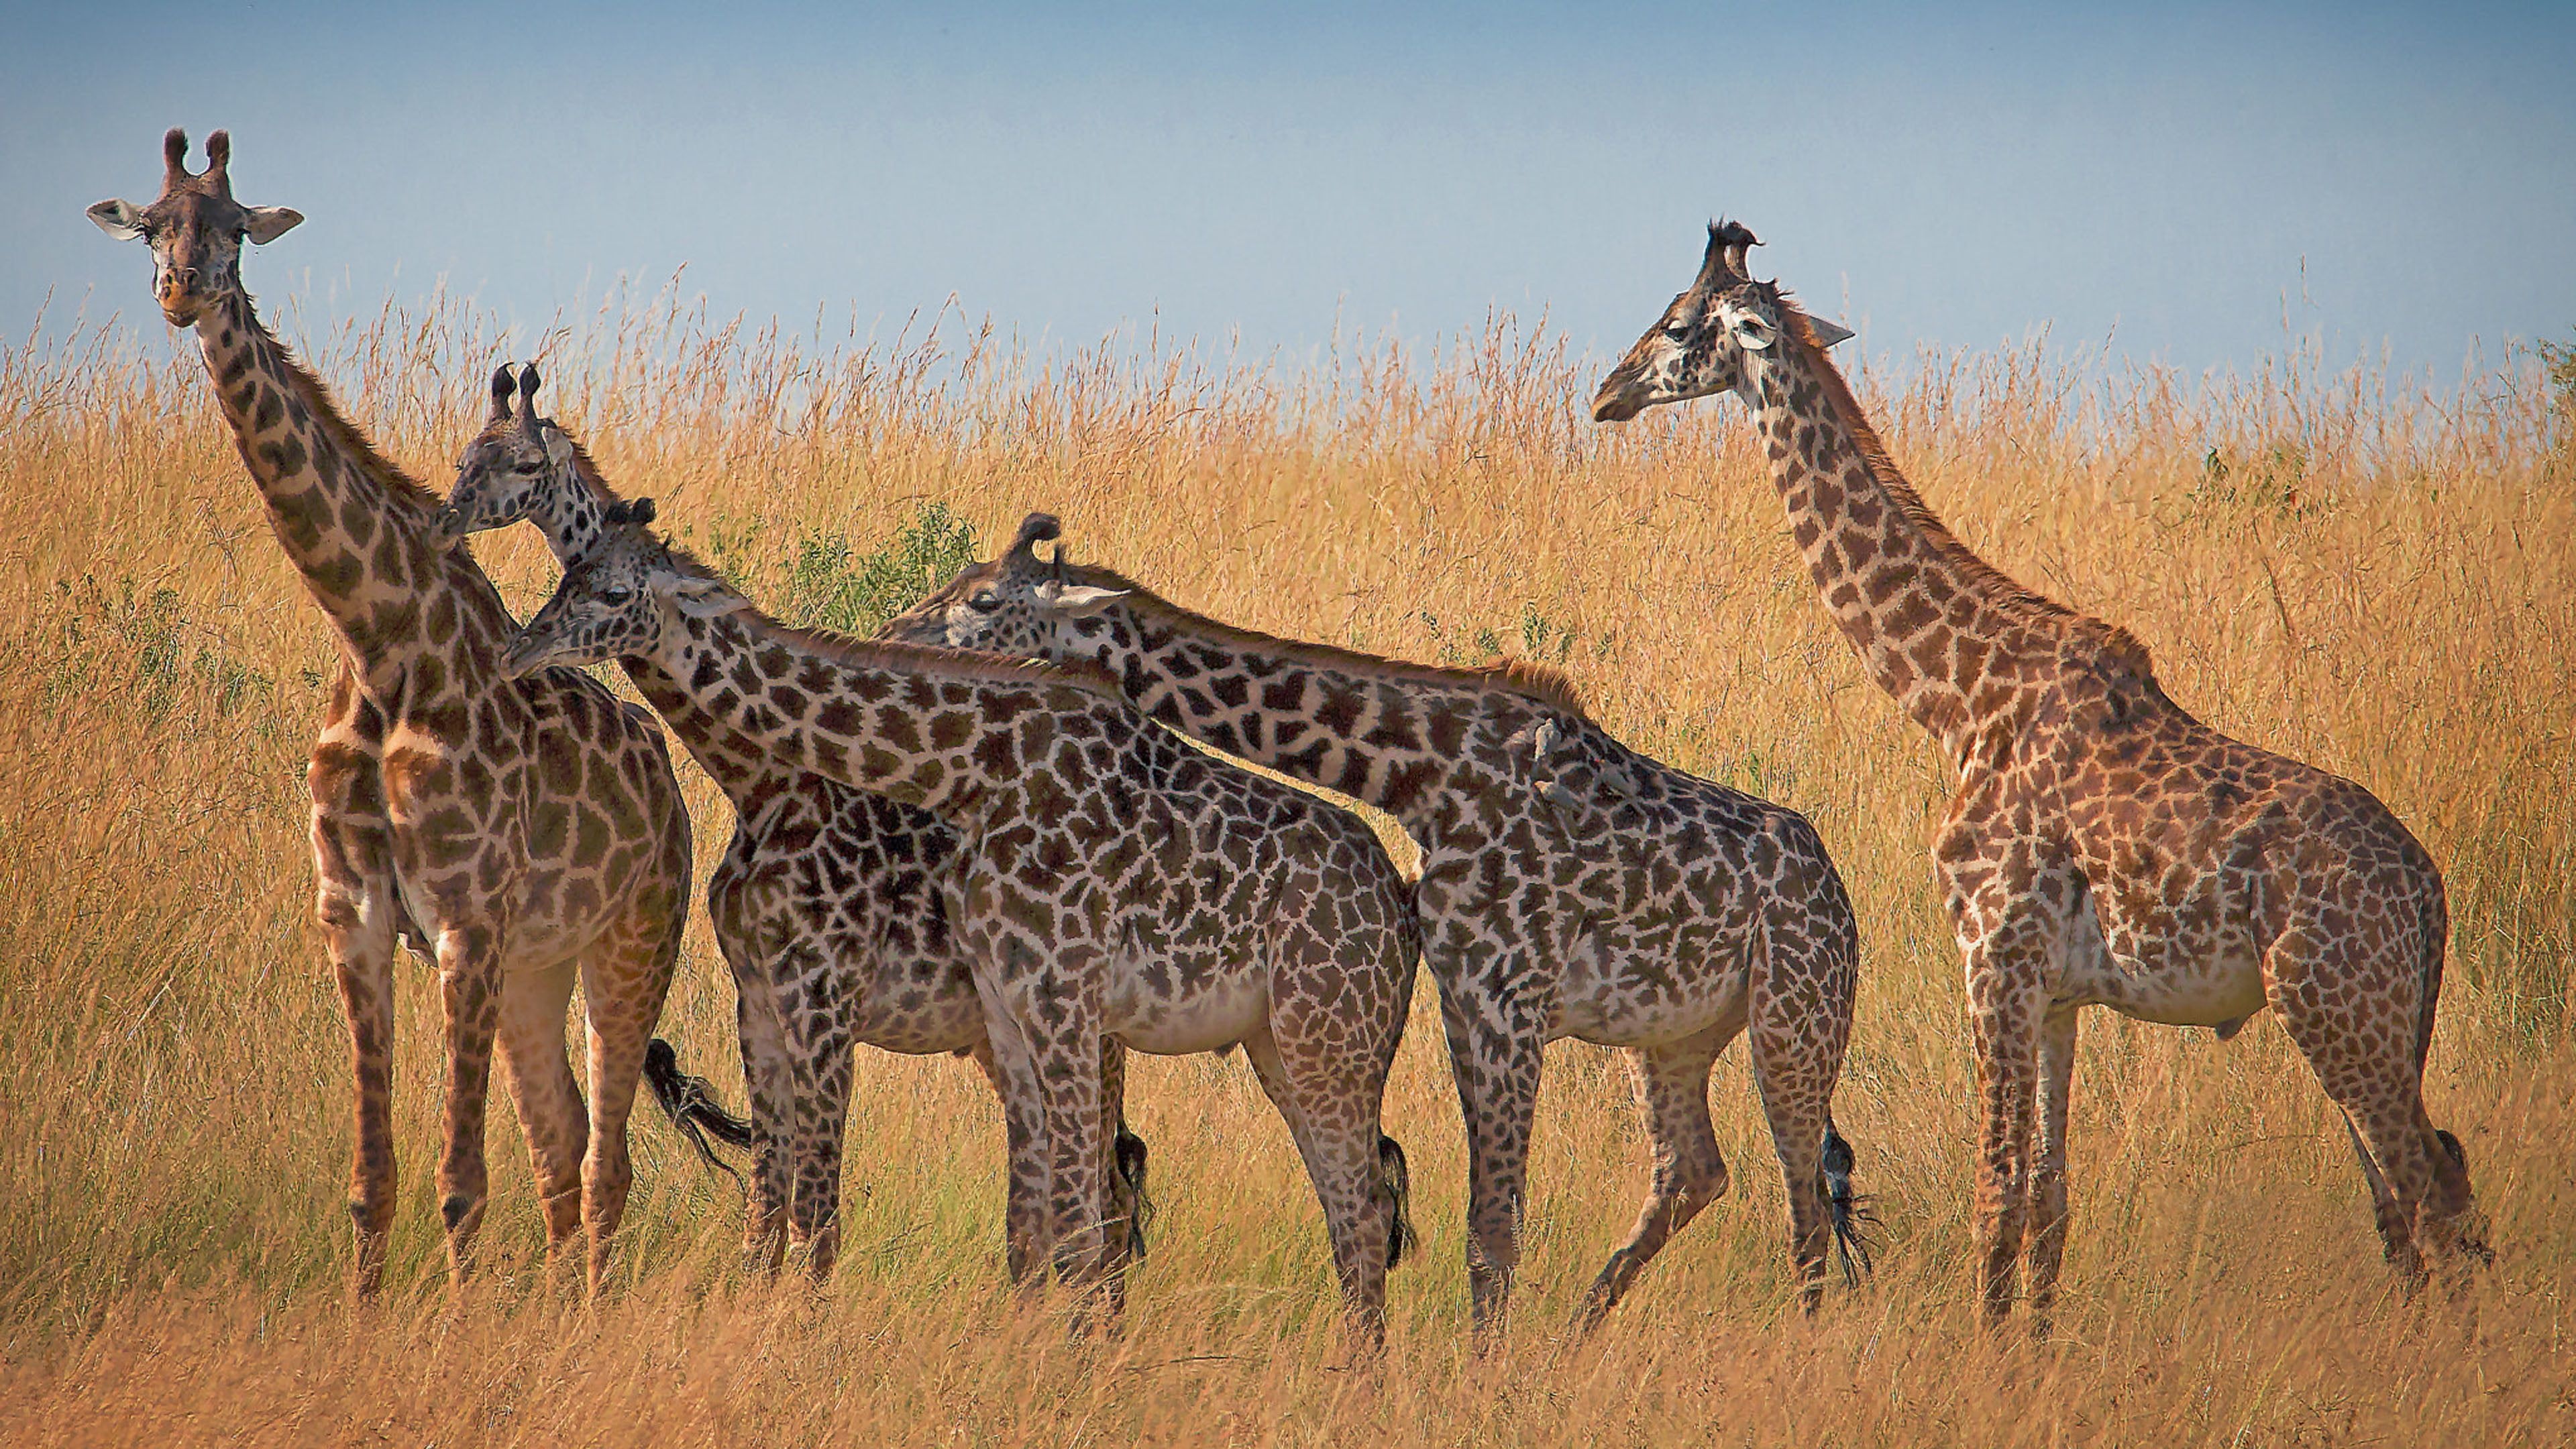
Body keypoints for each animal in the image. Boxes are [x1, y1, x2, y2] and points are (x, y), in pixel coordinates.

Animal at [88, 129, 695, 1289]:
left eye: (235, 229)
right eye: (151, 226)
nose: (183, 292)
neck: (380, 642)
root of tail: (673, 789)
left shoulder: (466, 917)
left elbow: (462, 1185)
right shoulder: (355, 915)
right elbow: (374, 1184)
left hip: (631, 939)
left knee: (609, 1163)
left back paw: (592, 1314)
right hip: (538, 967)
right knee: (562, 1146)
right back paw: (563, 1316)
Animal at [433, 368, 1148, 1273]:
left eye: (522, 462)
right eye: (466, 451)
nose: (448, 517)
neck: (765, 780)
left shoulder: (825, 1005)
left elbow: (818, 1222)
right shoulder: (761, 1003)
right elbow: (767, 1221)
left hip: (1085, 1028)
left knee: (1110, 1197)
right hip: (1003, 1035)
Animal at [497, 505, 1432, 1340]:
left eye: (613, 592)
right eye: (570, 573)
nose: (521, 649)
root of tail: (1403, 903)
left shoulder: (868, 999)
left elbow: (843, 1209)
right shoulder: (787, 1001)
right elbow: (790, 1207)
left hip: (1323, 1038)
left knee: (1333, 1209)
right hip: (1276, 1044)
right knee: (1329, 1205)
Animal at [885, 510, 1875, 1330]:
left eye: (982, 599)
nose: (895, 633)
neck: (1422, 775)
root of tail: (1837, 889)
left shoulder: (1502, 994)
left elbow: (1492, 1226)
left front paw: (1485, 1386)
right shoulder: (1471, 992)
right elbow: (1483, 1222)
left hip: (1796, 1014)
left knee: (1799, 1197)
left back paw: (1800, 1341)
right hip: (1675, 1038)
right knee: (1696, 1171)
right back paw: (1580, 1334)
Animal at [1597, 216, 2483, 1330]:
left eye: (1678, 324)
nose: (1607, 391)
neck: (1959, 698)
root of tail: (2427, 891)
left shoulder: (1990, 954)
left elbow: (1995, 1195)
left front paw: (1983, 1352)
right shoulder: (2059, 993)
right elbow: (2052, 1199)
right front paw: (2034, 1351)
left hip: (2337, 1011)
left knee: (2427, 1189)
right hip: (2375, 1023)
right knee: (2421, 1190)